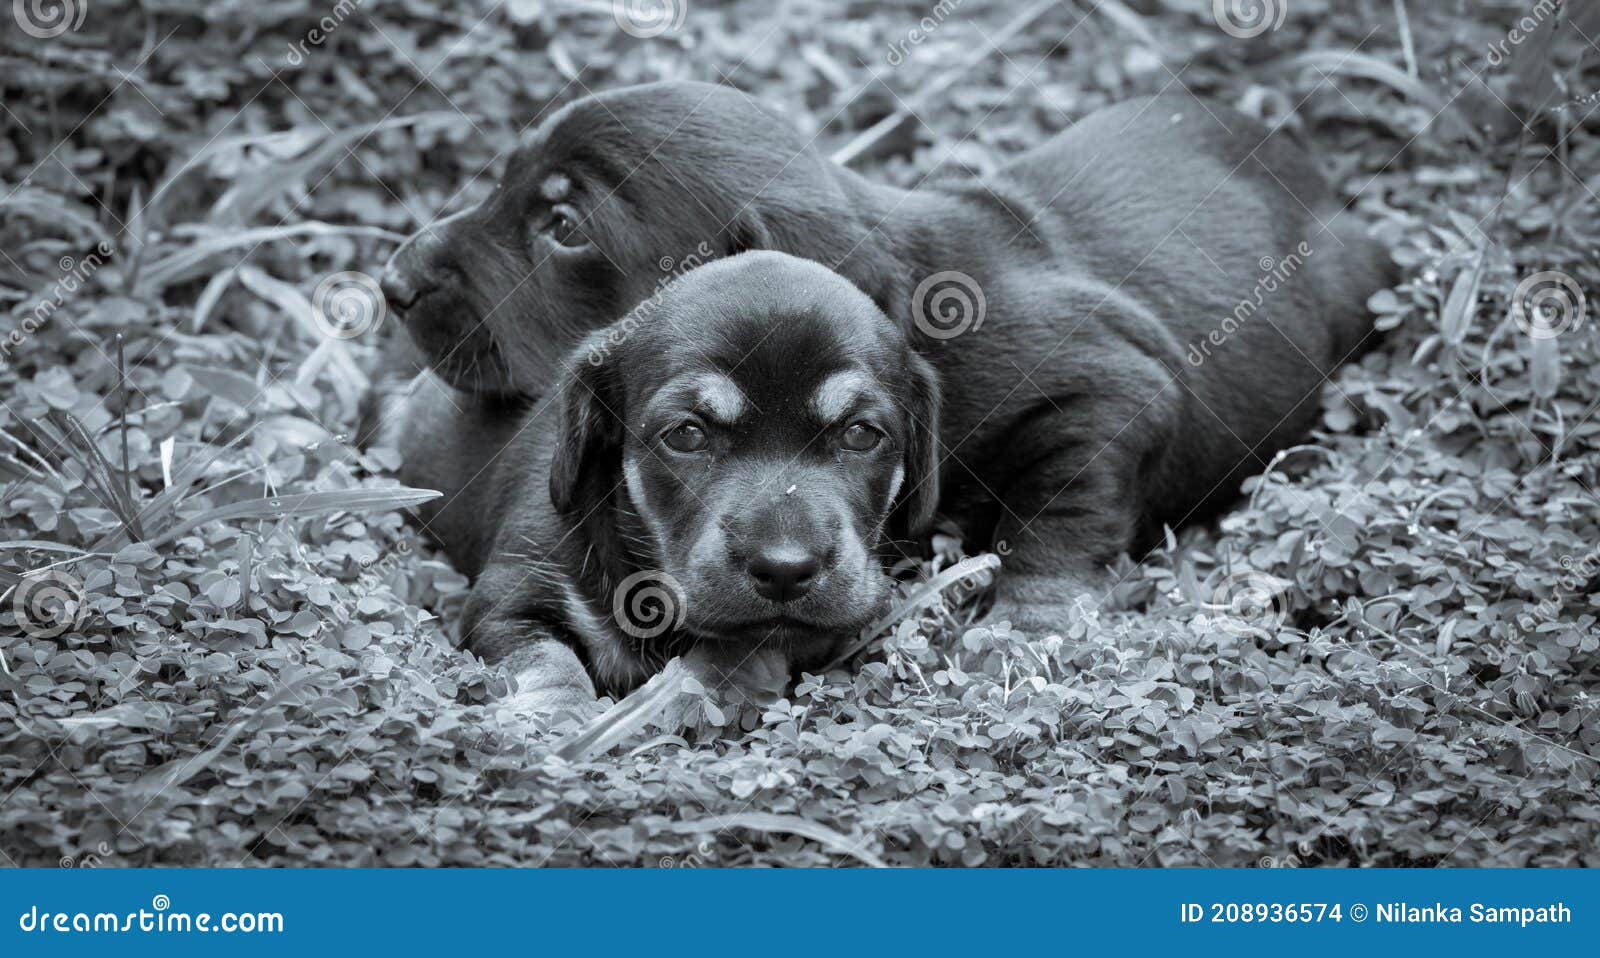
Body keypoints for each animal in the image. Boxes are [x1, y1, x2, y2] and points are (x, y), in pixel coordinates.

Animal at [438, 251, 934, 716]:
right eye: (686, 434)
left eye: (860, 434)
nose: (784, 570)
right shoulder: (505, 598)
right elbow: (547, 662)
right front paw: (556, 722)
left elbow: (744, 646)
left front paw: (684, 696)